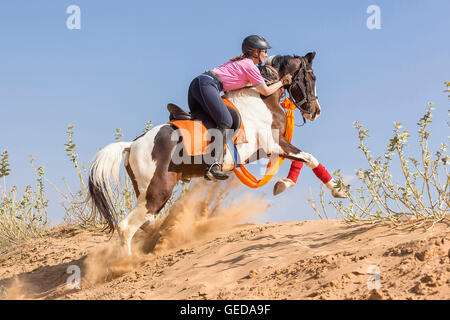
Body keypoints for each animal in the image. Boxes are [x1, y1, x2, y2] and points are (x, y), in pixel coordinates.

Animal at [89, 52, 348, 258]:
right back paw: (126, 265)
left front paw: (284, 183)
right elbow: (309, 157)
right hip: (158, 191)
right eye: (312, 78)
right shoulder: (274, 144)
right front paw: (337, 190)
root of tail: (132, 145)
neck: (262, 98)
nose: (316, 111)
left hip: (146, 193)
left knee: (145, 222)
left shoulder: (266, 150)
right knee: (126, 227)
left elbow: (301, 160)